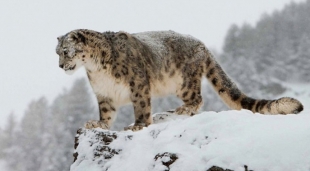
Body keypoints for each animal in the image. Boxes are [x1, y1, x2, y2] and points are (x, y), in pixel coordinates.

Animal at [55, 29, 302, 131]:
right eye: (56, 51)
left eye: (66, 51)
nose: (60, 66)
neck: (95, 69)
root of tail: (202, 44)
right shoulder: (104, 93)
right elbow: (106, 113)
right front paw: (98, 124)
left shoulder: (138, 84)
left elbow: (141, 106)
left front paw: (139, 125)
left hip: (184, 82)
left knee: (198, 99)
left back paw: (181, 110)